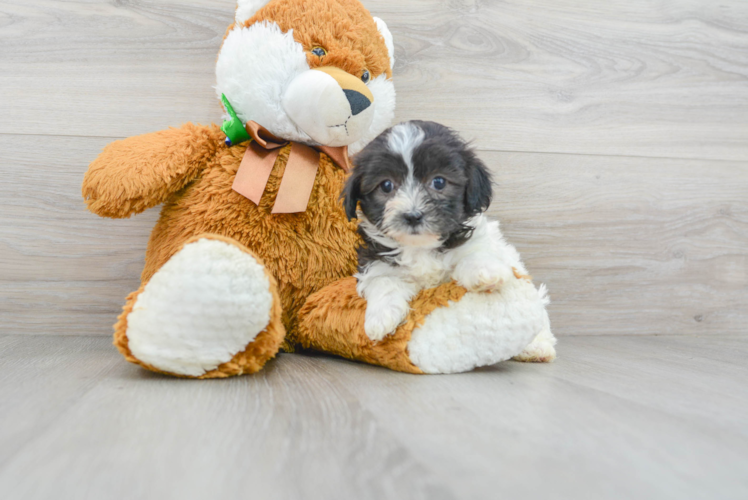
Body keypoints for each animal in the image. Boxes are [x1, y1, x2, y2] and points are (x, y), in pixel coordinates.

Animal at [342, 120, 528, 340]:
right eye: (386, 185)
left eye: (439, 182)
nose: (412, 215)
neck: (421, 247)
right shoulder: (375, 259)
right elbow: (382, 281)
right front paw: (380, 319)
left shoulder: (479, 239)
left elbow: (475, 251)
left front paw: (485, 273)